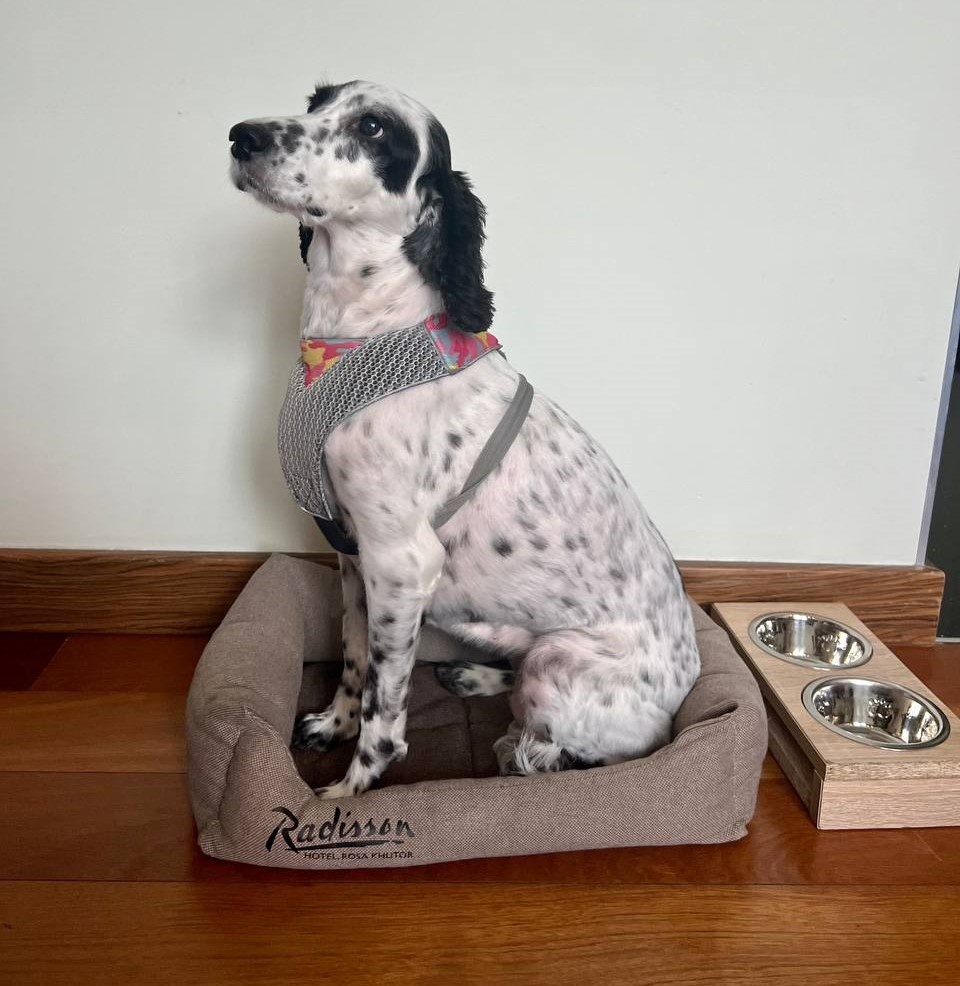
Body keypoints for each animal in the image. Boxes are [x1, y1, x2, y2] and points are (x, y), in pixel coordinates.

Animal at [229, 80, 700, 799]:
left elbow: (384, 712)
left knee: (557, 750)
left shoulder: (400, 564)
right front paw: (334, 724)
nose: (241, 136)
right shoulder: (353, 557)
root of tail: (682, 692)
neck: (351, 337)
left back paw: (519, 746)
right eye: (314, 102)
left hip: (560, 663)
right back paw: (476, 675)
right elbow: (354, 659)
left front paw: (346, 792)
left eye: (374, 127)